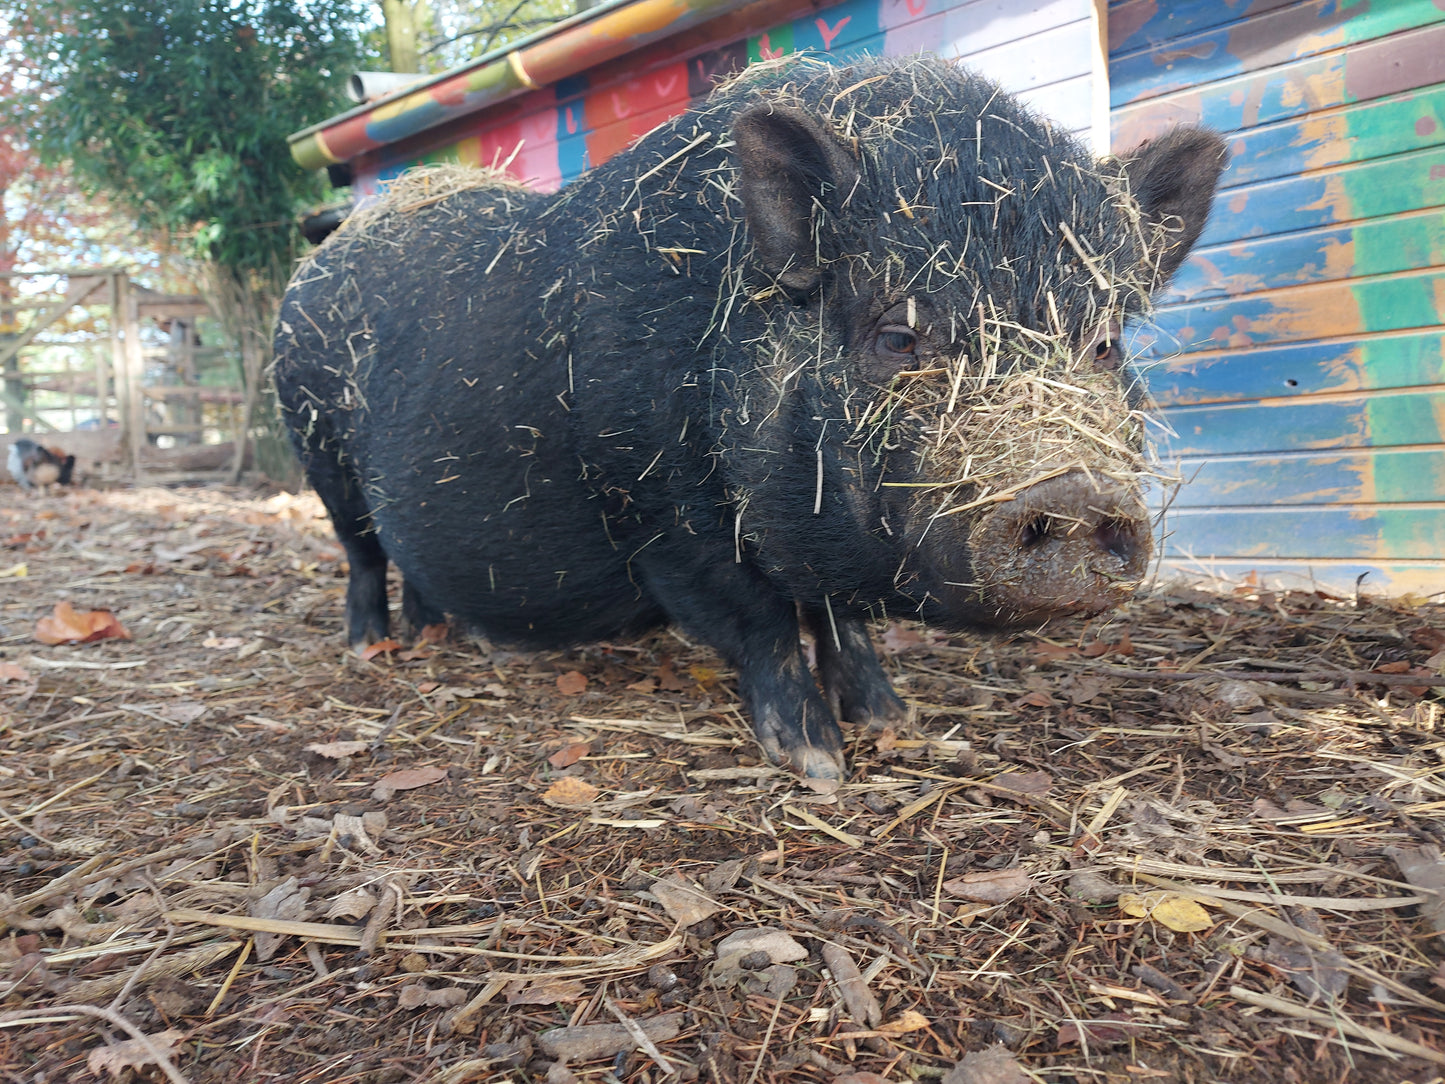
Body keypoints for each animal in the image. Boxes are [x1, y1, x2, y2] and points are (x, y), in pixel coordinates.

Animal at [273, 55, 1219, 774]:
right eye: (896, 335)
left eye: (1103, 343)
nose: (1075, 494)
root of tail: (316, 262)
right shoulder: (663, 521)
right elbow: (761, 627)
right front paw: (816, 764)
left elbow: (843, 624)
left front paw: (892, 721)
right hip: (315, 452)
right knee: (361, 556)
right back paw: (372, 652)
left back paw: (431, 638)